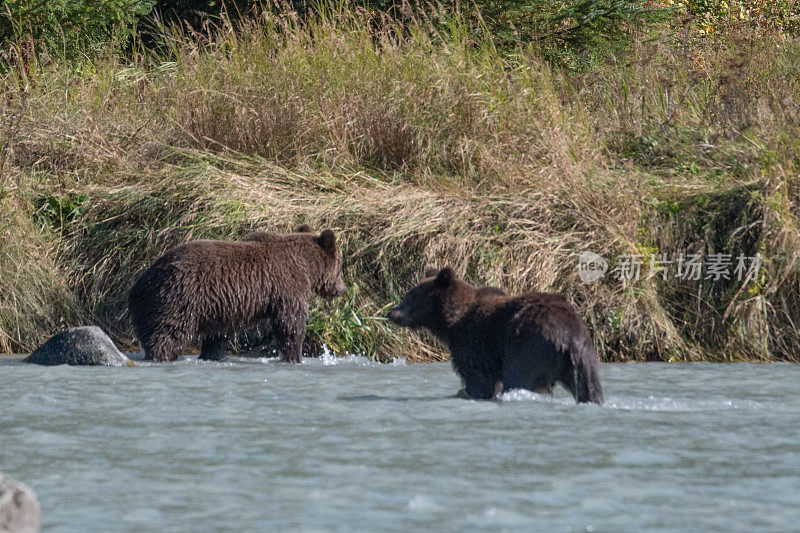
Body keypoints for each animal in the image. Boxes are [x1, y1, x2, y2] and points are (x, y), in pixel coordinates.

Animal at [128, 225, 346, 362]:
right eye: (340, 267)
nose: (343, 289)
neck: (305, 266)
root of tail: (139, 283)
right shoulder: (288, 287)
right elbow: (290, 323)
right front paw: (294, 356)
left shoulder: (220, 306)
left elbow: (217, 335)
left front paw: (213, 354)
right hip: (177, 297)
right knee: (167, 334)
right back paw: (163, 355)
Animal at [386, 266, 600, 404]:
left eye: (412, 296)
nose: (392, 313)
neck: (451, 324)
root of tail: (568, 337)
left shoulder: (475, 344)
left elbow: (479, 380)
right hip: (585, 357)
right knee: (589, 388)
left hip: (529, 347)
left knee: (519, 378)